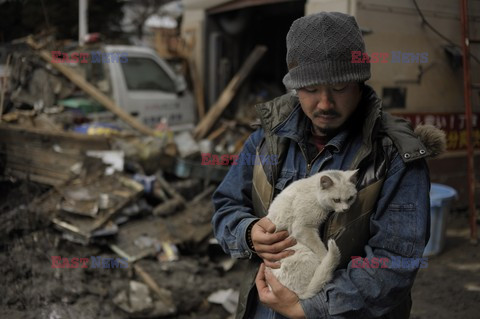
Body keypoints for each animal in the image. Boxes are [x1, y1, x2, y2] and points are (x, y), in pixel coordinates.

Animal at [268, 170, 358, 300]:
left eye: (350, 198)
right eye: (336, 200)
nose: (345, 209)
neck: (314, 193)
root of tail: (298, 294)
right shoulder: (302, 228)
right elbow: (320, 248)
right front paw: (325, 256)